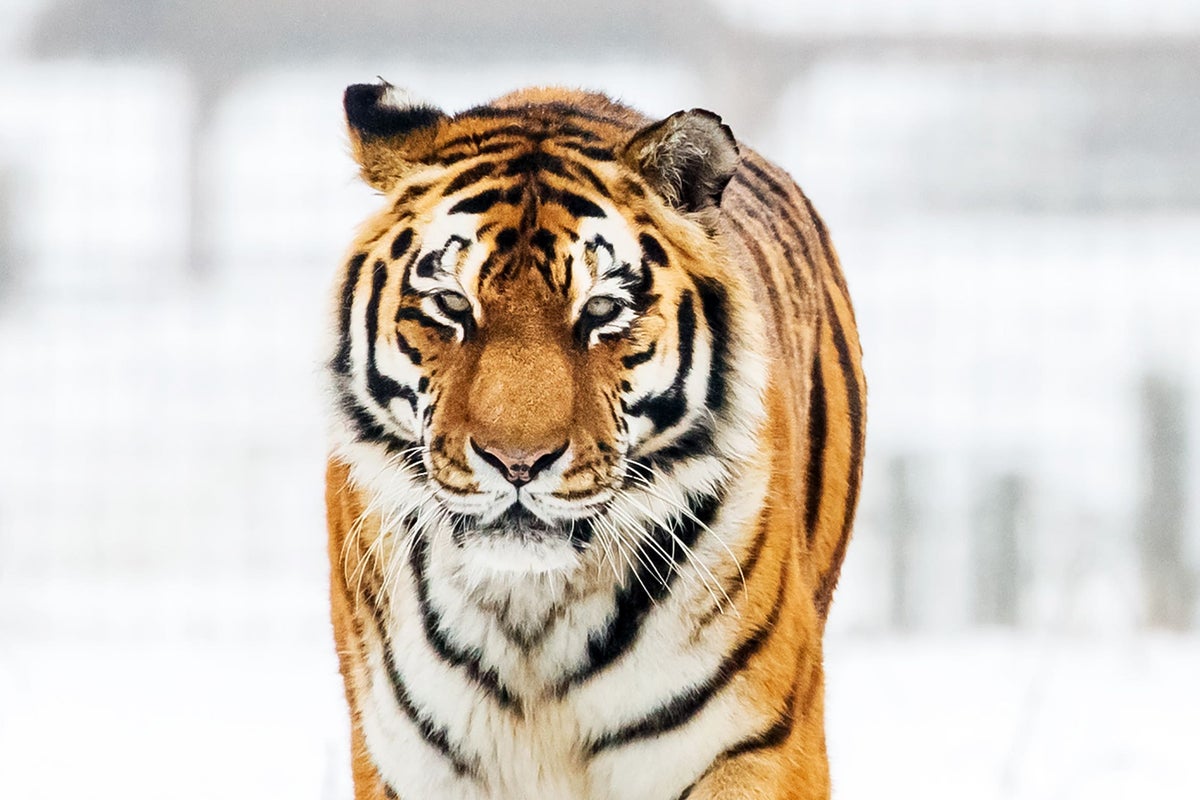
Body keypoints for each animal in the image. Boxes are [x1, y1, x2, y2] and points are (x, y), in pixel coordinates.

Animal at [324, 80, 865, 800]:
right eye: (452, 304)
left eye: (601, 311)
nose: (516, 464)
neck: (530, 616)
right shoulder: (405, 760)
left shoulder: (755, 742)